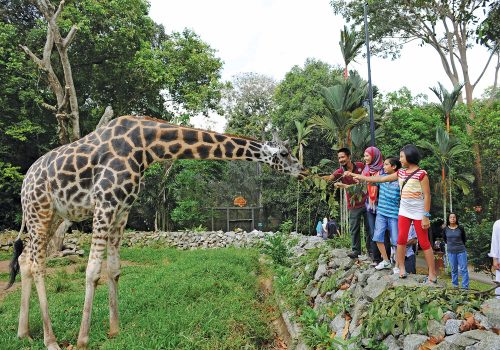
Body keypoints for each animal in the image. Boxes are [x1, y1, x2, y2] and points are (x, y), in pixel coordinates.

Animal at [7, 114, 306, 348]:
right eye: (284, 153)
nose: (302, 171)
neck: (146, 146)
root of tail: (24, 182)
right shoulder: (105, 203)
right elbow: (92, 271)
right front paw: (83, 340)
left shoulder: (122, 209)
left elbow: (113, 269)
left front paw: (115, 330)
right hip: (39, 211)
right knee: (38, 264)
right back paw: (51, 340)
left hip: (53, 216)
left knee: (25, 260)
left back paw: (25, 333)